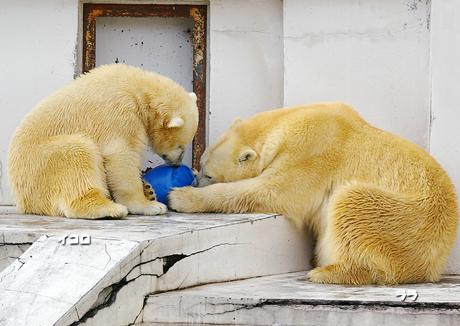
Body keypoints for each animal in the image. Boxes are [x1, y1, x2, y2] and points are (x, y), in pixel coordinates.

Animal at [7, 63, 198, 219]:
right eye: (181, 146)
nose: (176, 164)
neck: (138, 87)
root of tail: (22, 201)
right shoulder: (119, 112)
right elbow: (121, 155)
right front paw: (149, 206)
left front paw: (148, 194)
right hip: (40, 163)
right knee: (77, 155)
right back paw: (110, 209)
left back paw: (148, 189)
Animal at [170, 102, 460, 286]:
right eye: (201, 166)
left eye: (209, 175)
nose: (195, 182)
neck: (287, 122)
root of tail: (434, 264)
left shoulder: (309, 150)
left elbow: (274, 192)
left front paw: (180, 196)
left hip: (406, 222)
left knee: (350, 203)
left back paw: (327, 272)